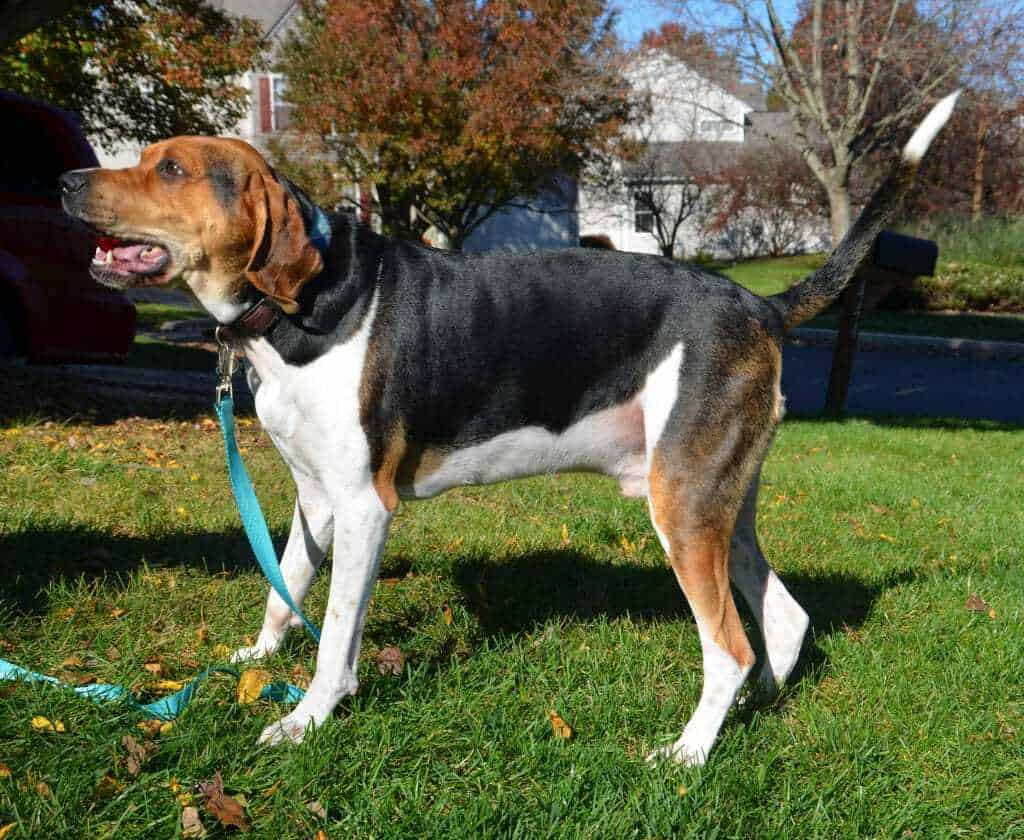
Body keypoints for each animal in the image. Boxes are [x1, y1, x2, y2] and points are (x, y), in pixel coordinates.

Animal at [61, 93, 958, 766]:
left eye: (171, 169)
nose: (69, 179)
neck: (301, 306)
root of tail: (760, 305)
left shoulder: (363, 507)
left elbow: (335, 636)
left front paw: (306, 717)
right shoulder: (314, 498)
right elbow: (285, 592)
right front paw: (255, 661)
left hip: (682, 506)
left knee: (728, 647)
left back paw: (689, 753)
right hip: (714, 503)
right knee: (782, 621)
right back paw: (759, 706)